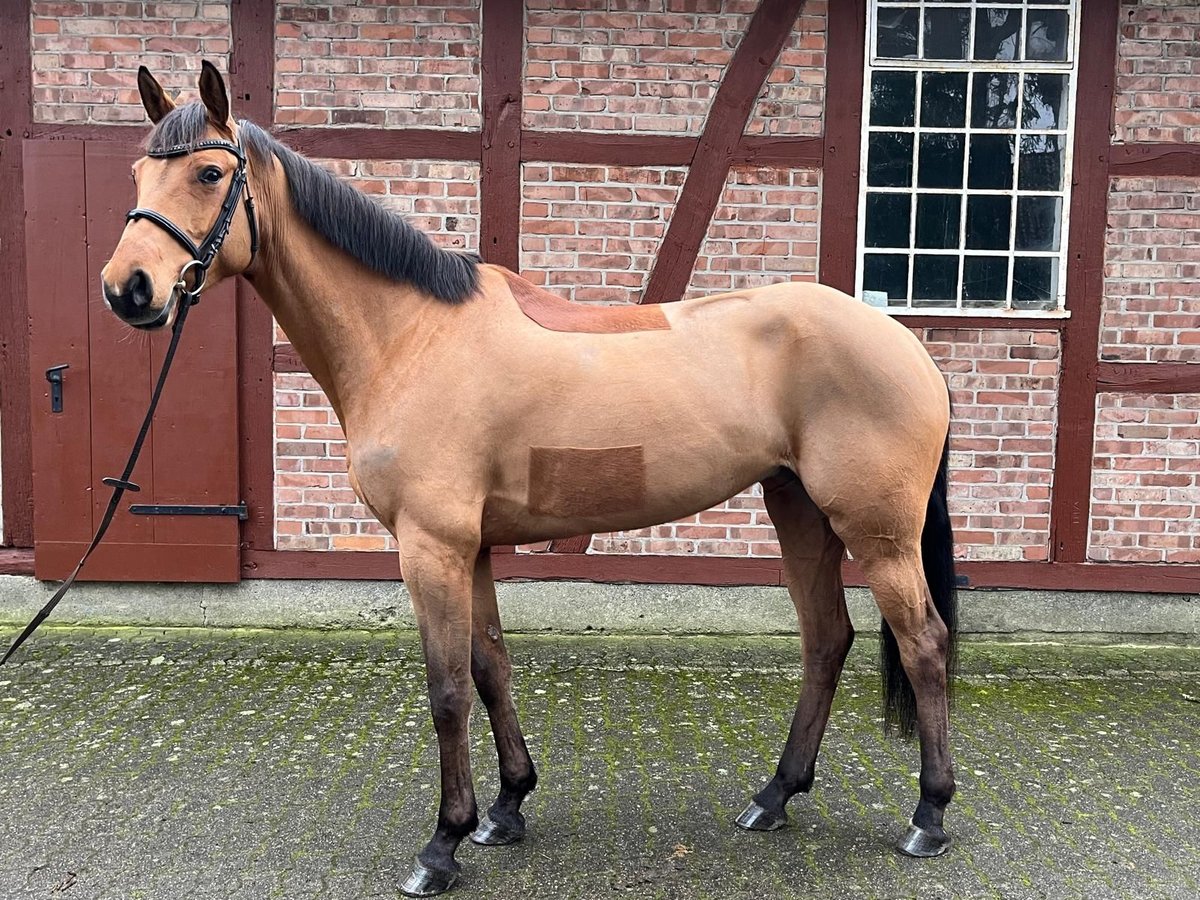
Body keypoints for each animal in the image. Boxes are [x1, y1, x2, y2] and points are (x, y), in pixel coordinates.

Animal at [100, 61, 964, 897]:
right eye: (139, 170)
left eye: (210, 172)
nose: (127, 289)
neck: (410, 335)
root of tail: (906, 343)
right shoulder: (472, 549)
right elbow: (490, 668)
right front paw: (507, 807)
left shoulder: (431, 548)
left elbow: (447, 688)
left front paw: (442, 845)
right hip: (798, 510)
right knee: (828, 639)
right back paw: (775, 796)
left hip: (877, 532)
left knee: (924, 643)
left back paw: (929, 815)